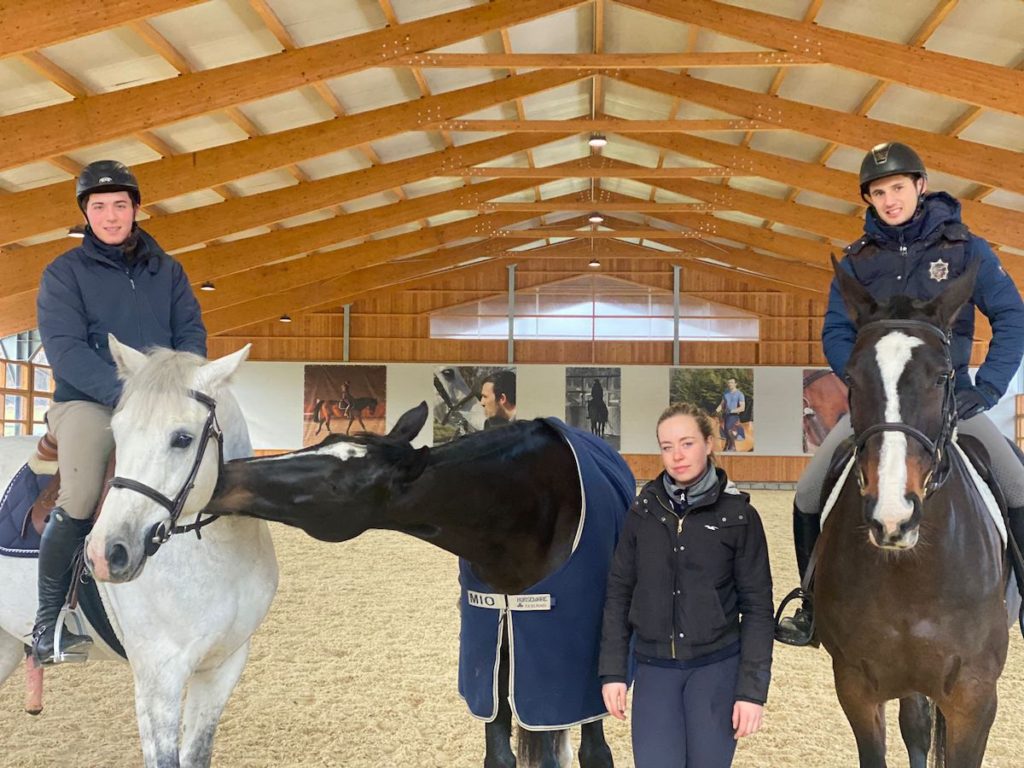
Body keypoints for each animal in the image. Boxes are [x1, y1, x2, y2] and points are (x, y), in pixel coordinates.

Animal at [204, 405, 630, 765]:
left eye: (337, 486)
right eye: (321, 442)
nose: (221, 478)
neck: (528, 509)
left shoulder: (570, 667)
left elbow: (594, 751)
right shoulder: (494, 655)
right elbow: (500, 753)